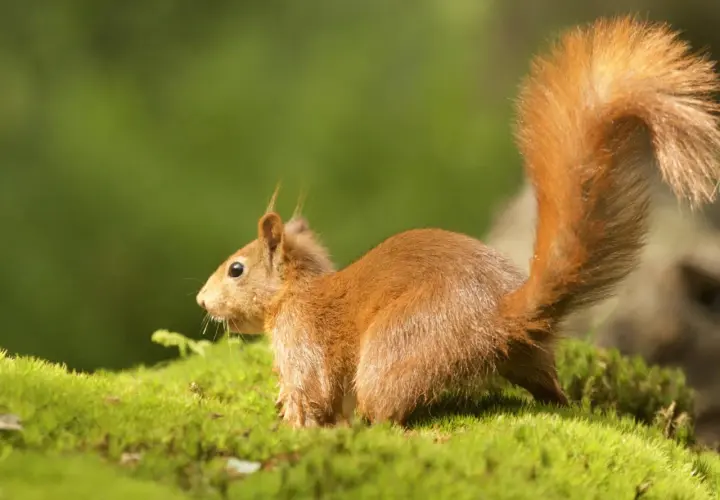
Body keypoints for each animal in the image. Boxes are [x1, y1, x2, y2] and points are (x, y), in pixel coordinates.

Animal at [196, 16, 720, 428]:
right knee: (550, 388)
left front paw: (293, 420)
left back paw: (370, 424)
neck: (296, 292)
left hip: (397, 347)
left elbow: (311, 390)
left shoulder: (303, 339)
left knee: (386, 408)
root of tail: (499, 316)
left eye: (236, 269)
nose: (201, 300)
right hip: (526, 358)